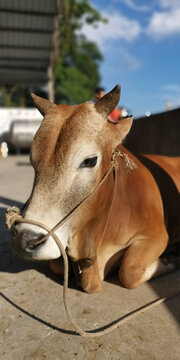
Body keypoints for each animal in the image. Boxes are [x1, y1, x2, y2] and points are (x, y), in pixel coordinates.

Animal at [11, 86, 180, 292]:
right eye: (32, 160)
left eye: (90, 161)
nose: (24, 239)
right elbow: (56, 265)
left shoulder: (157, 235)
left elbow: (129, 272)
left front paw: (170, 260)